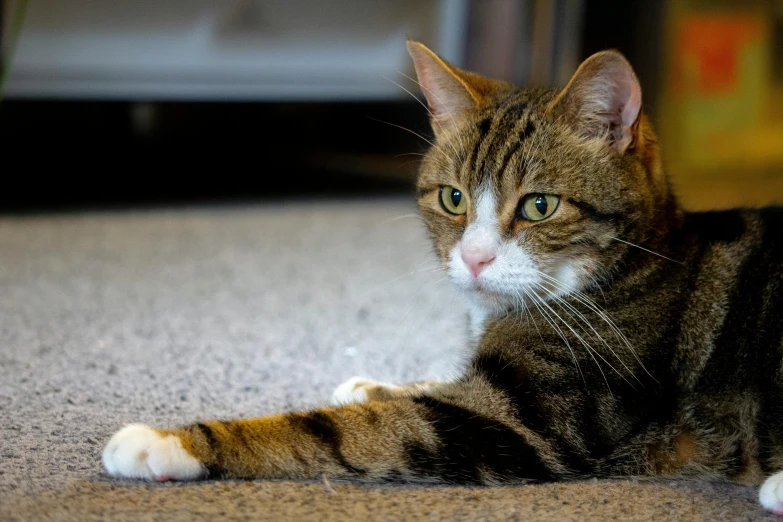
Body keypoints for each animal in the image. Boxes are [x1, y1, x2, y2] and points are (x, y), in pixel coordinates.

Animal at [102, 38, 783, 512]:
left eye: (540, 206)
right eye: (453, 198)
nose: (475, 258)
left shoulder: (526, 422)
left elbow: (346, 433)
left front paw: (169, 443)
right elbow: (428, 389)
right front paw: (375, 384)